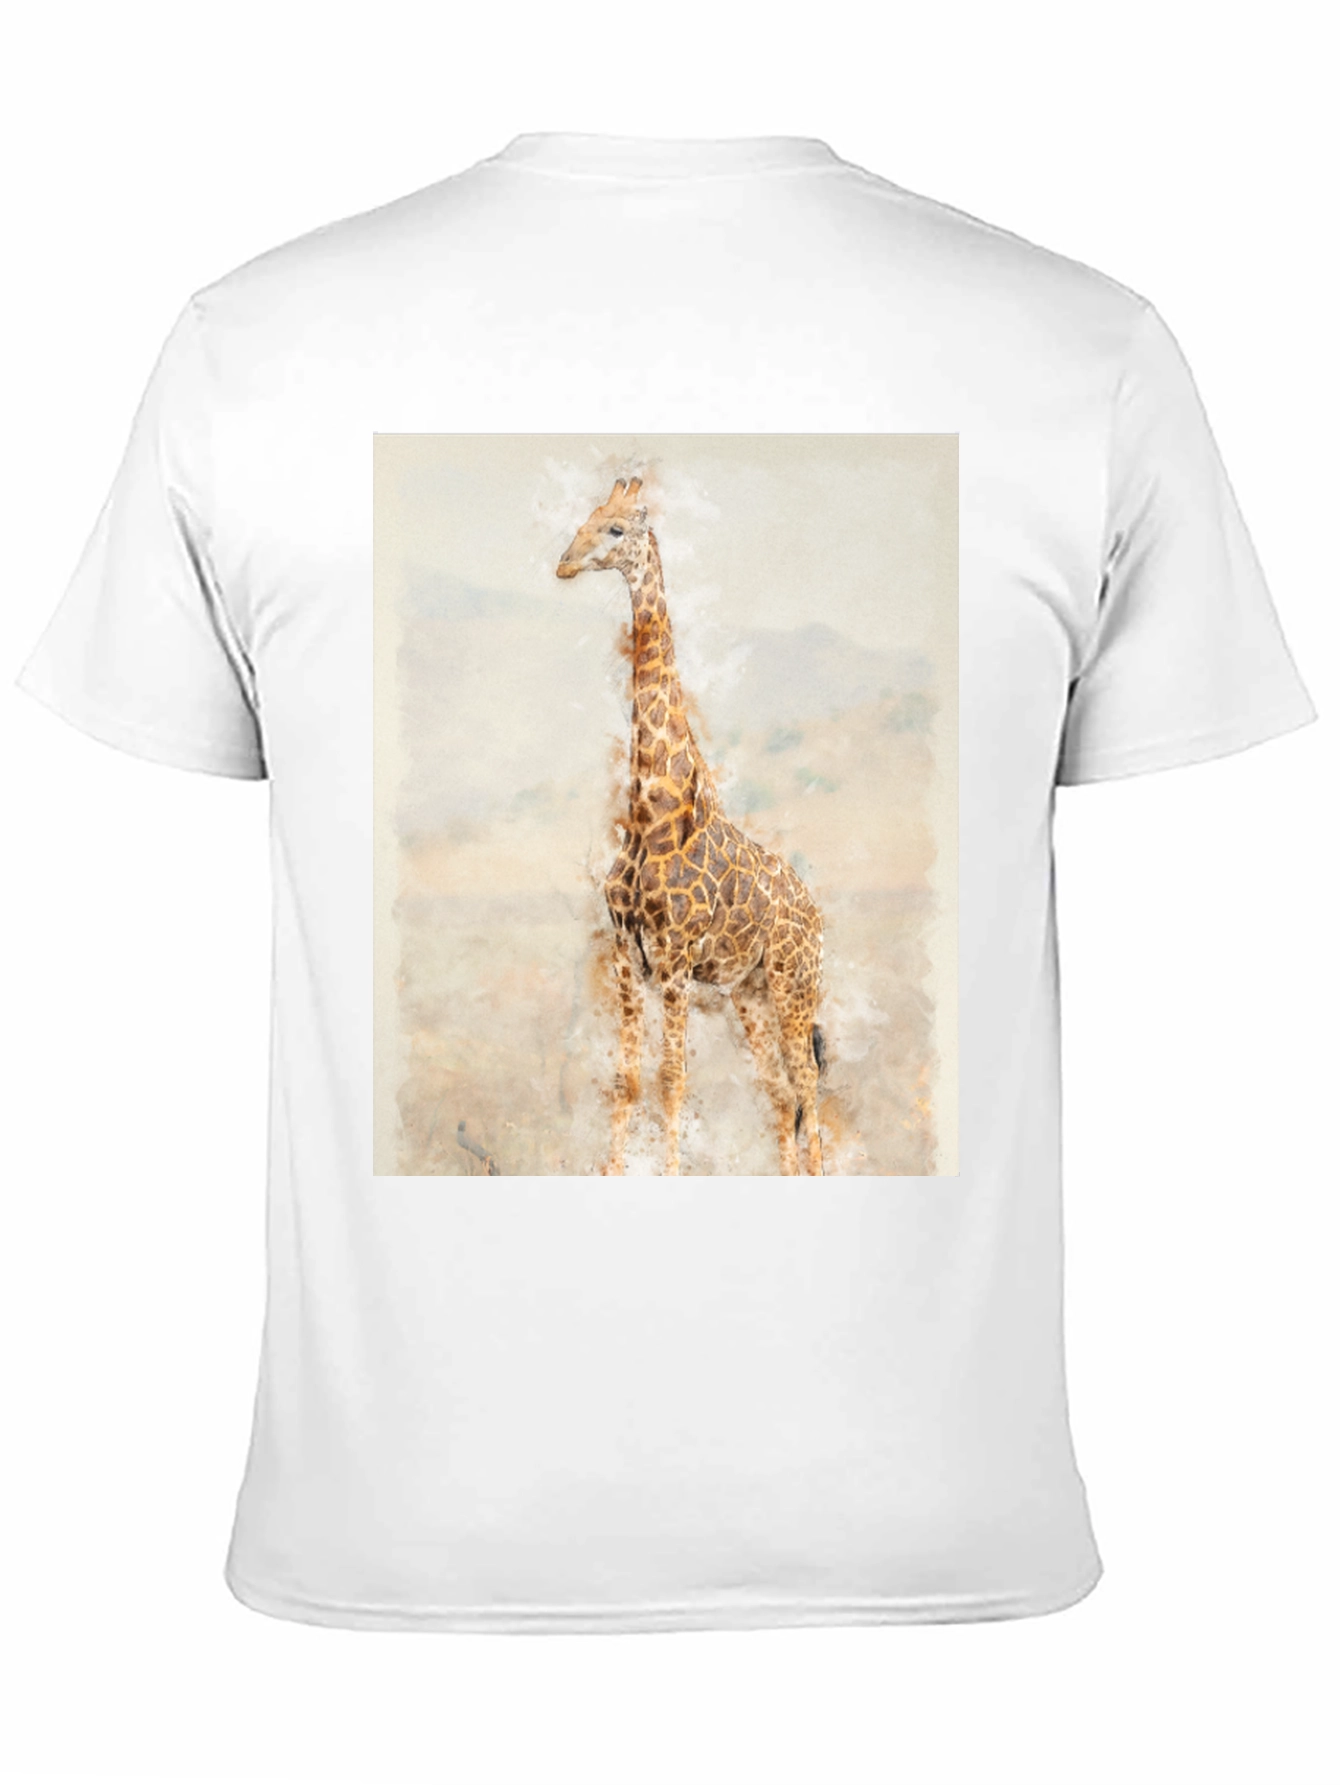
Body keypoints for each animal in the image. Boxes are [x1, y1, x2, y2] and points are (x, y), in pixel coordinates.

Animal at [556, 476, 827, 1176]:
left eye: (618, 527)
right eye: (586, 517)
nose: (564, 562)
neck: (651, 815)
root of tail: (817, 917)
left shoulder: (675, 958)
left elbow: (673, 1078)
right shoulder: (627, 954)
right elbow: (627, 1080)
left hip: (795, 983)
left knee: (808, 1090)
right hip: (749, 992)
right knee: (781, 1094)